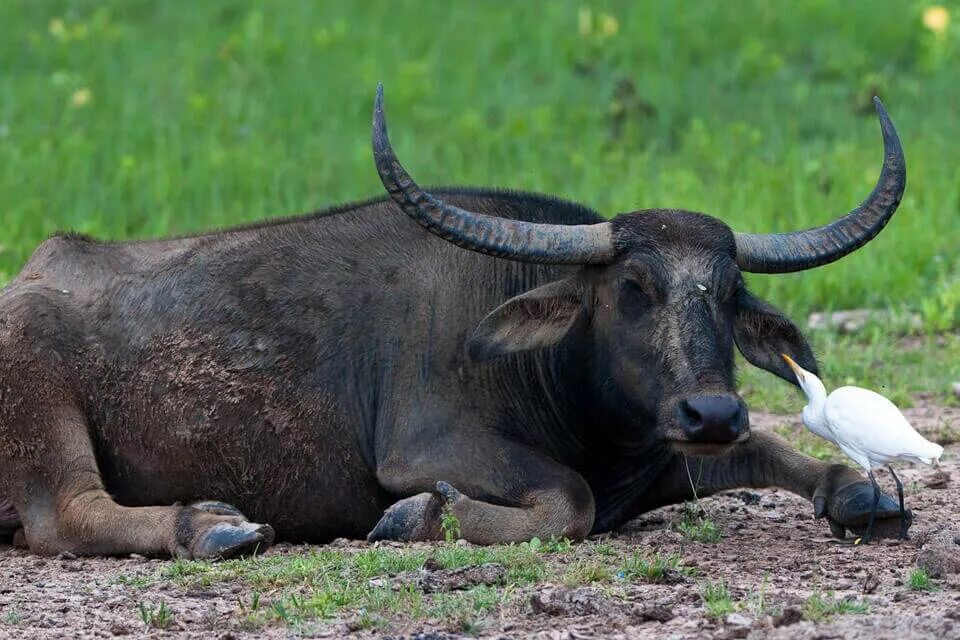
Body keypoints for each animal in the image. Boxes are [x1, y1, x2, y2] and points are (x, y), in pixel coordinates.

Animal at [0, 87, 908, 556]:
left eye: (728, 291)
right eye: (632, 286)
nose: (710, 411)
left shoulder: (669, 453)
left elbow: (784, 452)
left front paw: (865, 496)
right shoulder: (428, 450)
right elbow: (569, 501)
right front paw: (419, 518)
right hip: (41, 404)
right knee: (66, 514)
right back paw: (215, 528)